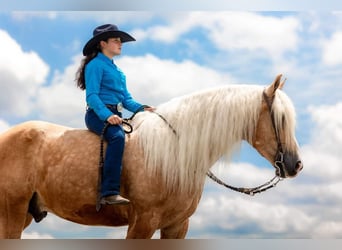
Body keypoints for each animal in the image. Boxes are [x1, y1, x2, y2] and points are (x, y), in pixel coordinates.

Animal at [0, 74, 302, 238]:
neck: (174, 153)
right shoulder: (143, 223)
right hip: (12, 212)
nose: (295, 165)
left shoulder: (177, 226)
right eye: (280, 119)